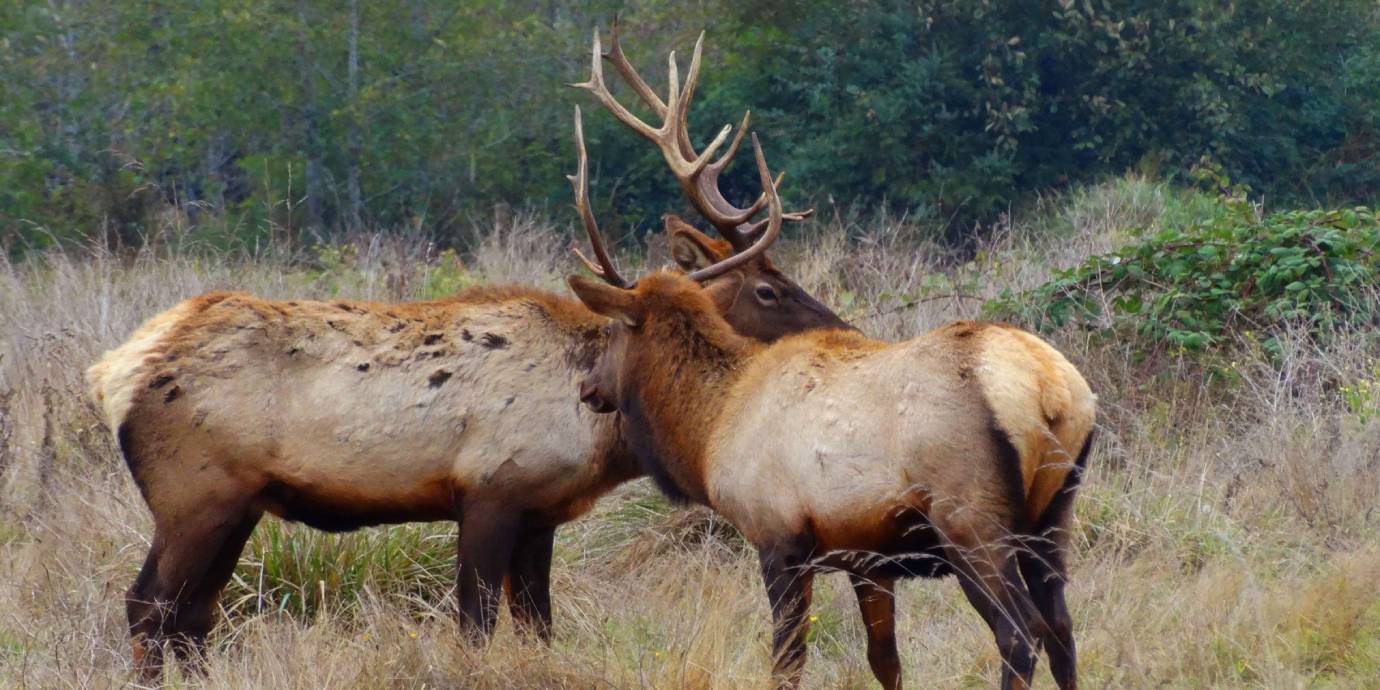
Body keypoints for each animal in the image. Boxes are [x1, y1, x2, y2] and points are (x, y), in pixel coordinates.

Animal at [85, 25, 849, 681]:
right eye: (769, 289)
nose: (844, 331)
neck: (600, 436)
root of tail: (111, 373)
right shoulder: (489, 489)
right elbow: (475, 625)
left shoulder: (541, 513)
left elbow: (538, 627)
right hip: (194, 493)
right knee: (149, 605)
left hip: (236, 503)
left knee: (193, 614)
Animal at [567, 136, 1097, 690]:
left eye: (611, 329)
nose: (588, 387)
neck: (710, 431)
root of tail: (1051, 387)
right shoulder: (866, 559)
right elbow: (885, 661)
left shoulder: (778, 538)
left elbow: (787, 661)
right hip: (1054, 512)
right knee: (1062, 628)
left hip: (970, 519)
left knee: (1019, 631)